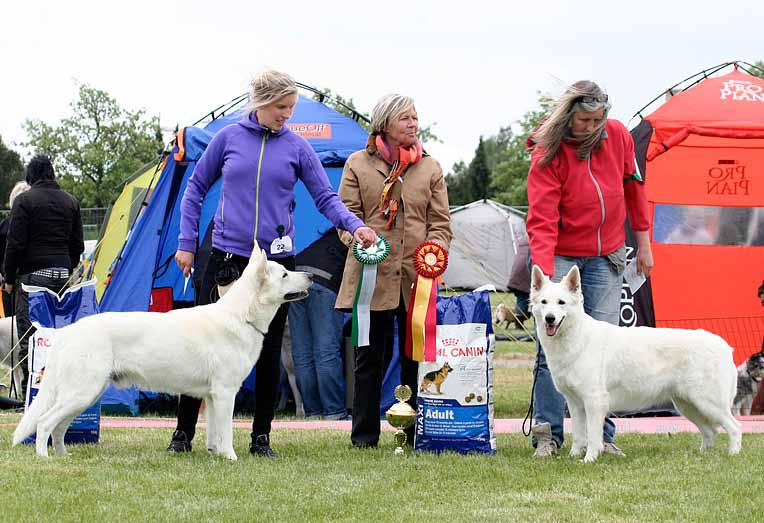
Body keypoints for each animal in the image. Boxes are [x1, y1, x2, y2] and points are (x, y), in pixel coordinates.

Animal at [12, 248, 310, 460]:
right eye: (284, 274)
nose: (309, 276)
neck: (241, 316)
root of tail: (67, 332)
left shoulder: (213, 397)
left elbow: (214, 432)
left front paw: (216, 455)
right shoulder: (225, 393)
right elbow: (226, 431)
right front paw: (231, 458)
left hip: (86, 395)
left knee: (58, 427)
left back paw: (64, 456)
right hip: (82, 393)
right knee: (44, 423)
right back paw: (44, 458)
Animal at [532, 266, 740, 462]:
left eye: (561, 302)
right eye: (544, 303)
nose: (549, 318)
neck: (576, 336)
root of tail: (725, 346)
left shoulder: (594, 401)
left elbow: (592, 436)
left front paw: (589, 459)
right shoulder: (575, 403)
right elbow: (577, 434)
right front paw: (574, 457)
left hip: (706, 402)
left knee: (735, 427)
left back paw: (733, 455)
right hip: (687, 404)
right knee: (710, 431)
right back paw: (702, 455)